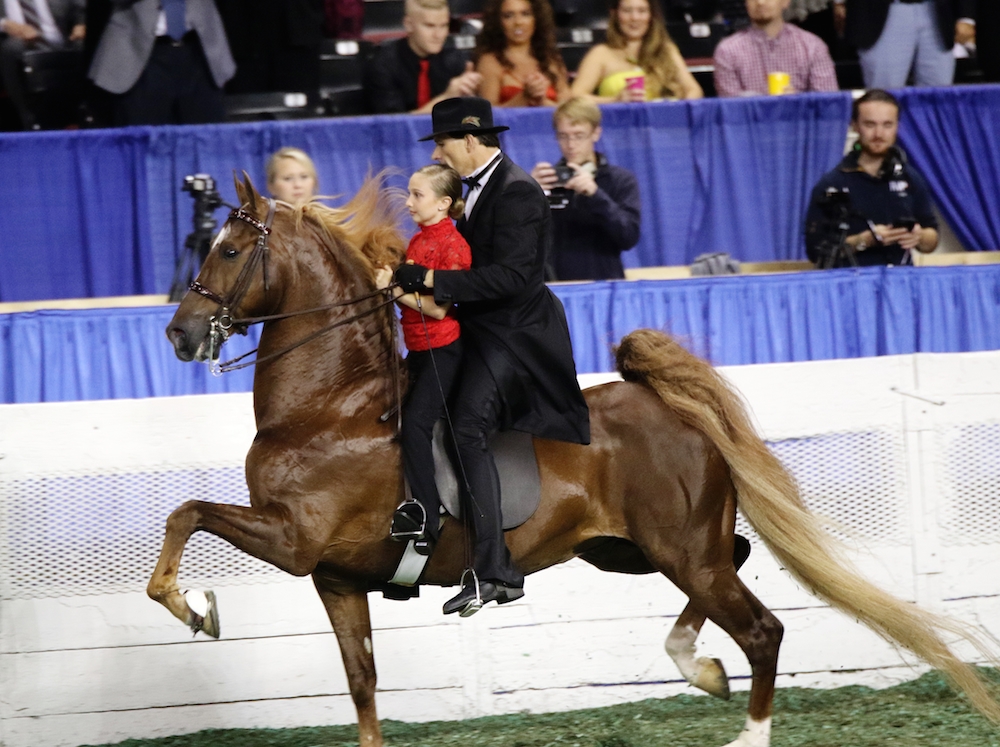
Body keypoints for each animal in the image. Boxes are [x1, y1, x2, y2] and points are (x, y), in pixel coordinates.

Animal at [154, 177, 1000, 747]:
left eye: (230, 249)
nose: (179, 334)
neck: (330, 405)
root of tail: (664, 402)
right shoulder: (334, 575)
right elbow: (361, 679)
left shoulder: (292, 539)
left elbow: (186, 512)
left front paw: (197, 607)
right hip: (639, 548)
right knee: (735, 564)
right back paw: (698, 665)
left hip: (674, 548)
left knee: (762, 629)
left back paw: (748, 728)